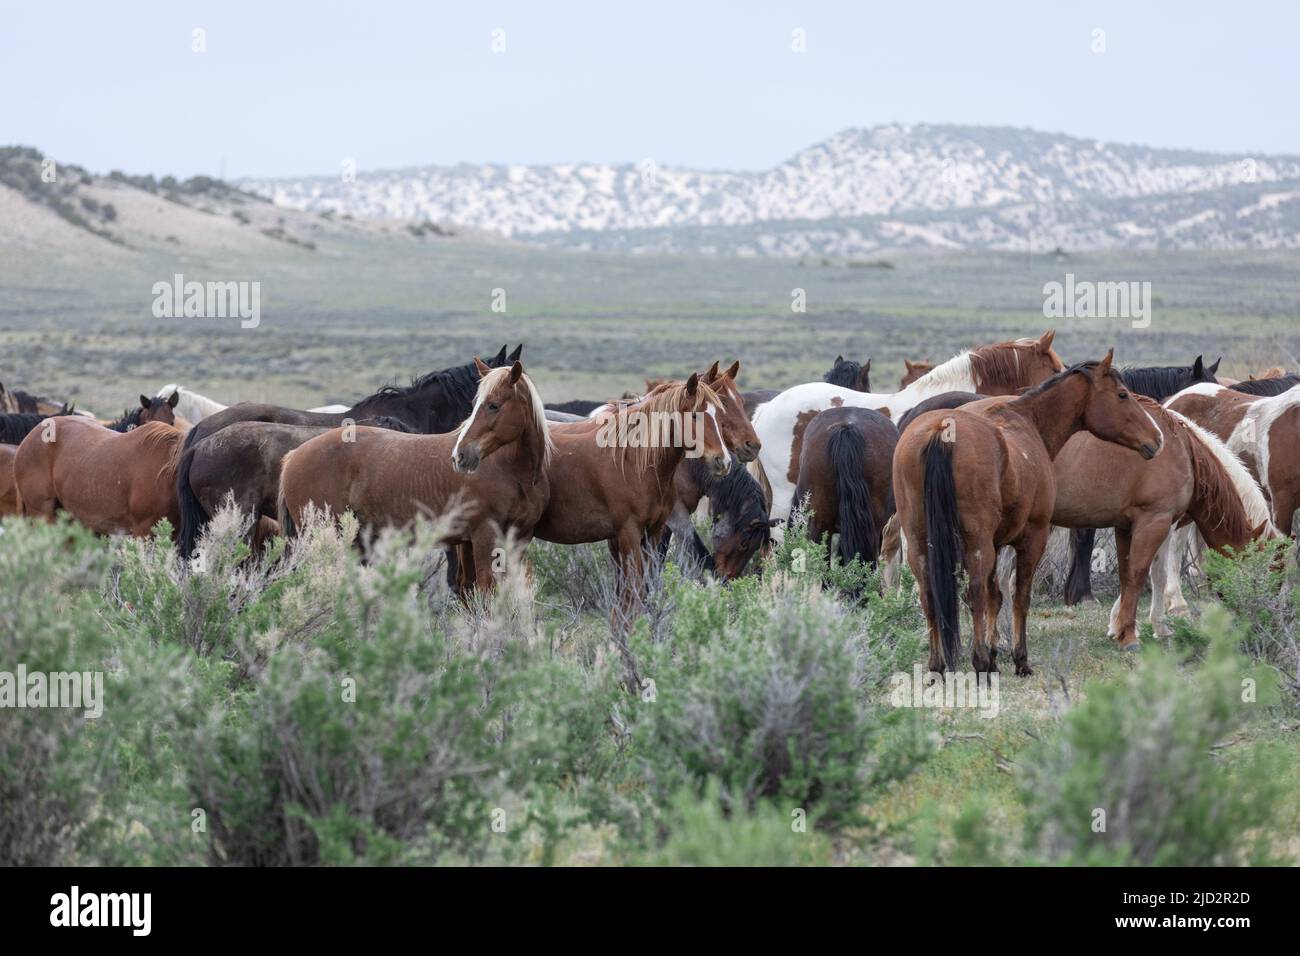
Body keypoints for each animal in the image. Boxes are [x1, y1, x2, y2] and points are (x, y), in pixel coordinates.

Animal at [279, 360, 552, 593]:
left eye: (494, 405)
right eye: (475, 406)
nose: (460, 456)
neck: (509, 469)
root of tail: (293, 455)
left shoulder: (519, 539)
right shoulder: (484, 537)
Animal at [893, 352, 1163, 676]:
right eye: (1122, 395)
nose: (1157, 438)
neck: (1026, 421)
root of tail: (941, 430)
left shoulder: (996, 545)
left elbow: (996, 596)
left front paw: (995, 652)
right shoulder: (1032, 538)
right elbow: (1019, 597)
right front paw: (1019, 659)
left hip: (920, 542)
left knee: (930, 596)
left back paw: (938, 664)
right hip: (976, 545)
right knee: (974, 594)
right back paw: (980, 662)